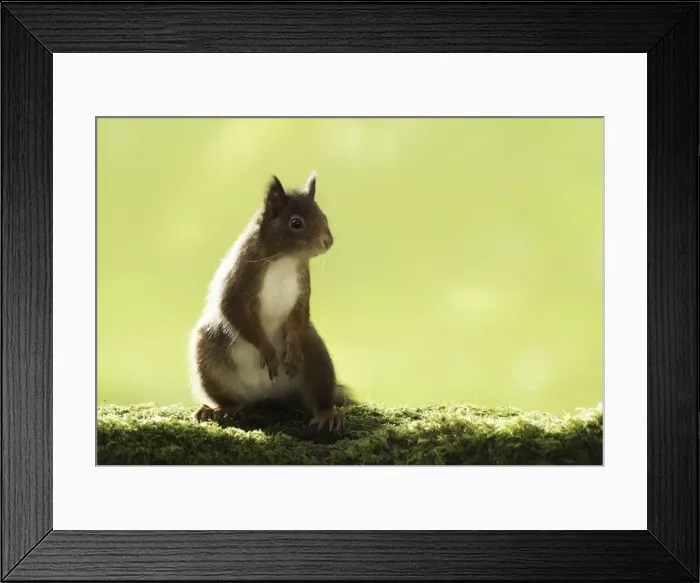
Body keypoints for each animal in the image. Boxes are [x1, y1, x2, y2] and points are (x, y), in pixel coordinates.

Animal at [189, 171, 350, 430]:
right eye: (296, 223)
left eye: (323, 215)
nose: (328, 241)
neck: (285, 258)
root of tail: (267, 394)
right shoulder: (239, 279)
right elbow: (234, 311)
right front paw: (266, 349)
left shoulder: (302, 289)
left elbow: (299, 315)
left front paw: (291, 347)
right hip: (209, 358)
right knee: (232, 399)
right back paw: (218, 409)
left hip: (315, 354)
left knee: (318, 393)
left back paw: (327, 413)